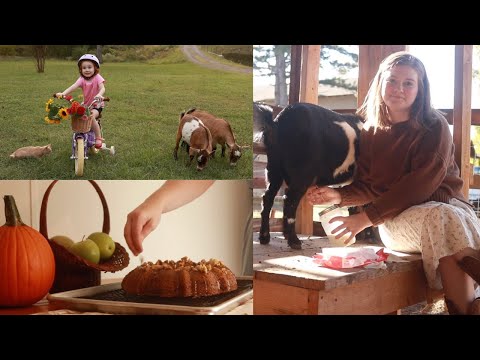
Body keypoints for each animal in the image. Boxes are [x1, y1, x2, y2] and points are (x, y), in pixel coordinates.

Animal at [255, 100, 364, 248]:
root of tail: (278, 122)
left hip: (274, 169)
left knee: (268, 198)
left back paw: (265, 237)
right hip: (301, 175)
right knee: (289, 201)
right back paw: (294, 241)